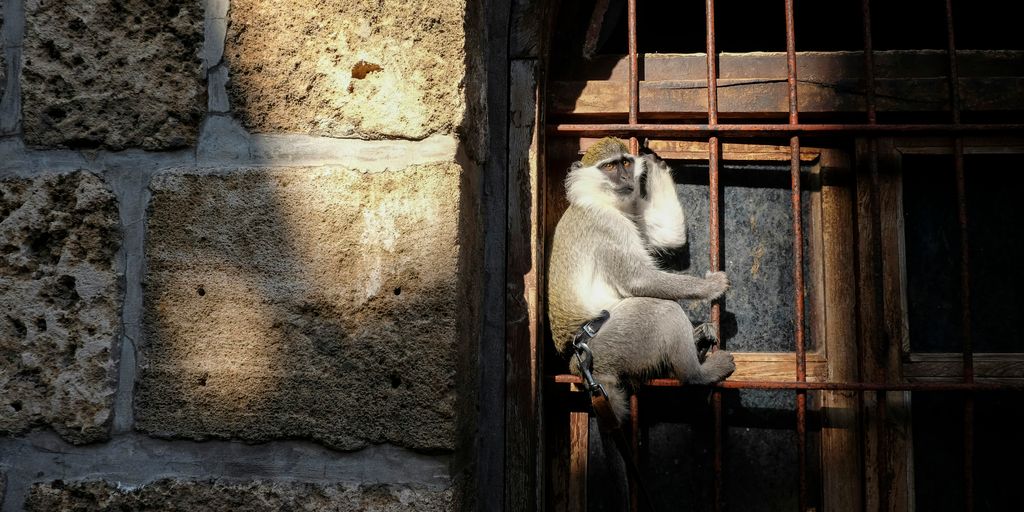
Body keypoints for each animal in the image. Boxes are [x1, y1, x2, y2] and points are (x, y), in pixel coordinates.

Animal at [547, 137, 736, 421]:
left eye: (625, 162)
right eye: (610, 166)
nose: (626, 177)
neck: (600, 200)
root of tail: (578, 364)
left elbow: (670, 234)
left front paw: (655, 162)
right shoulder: (609, 226)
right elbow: (638, 279)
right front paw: (711, 287)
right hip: (615, 343)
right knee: (662, 309)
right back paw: (697, 374)